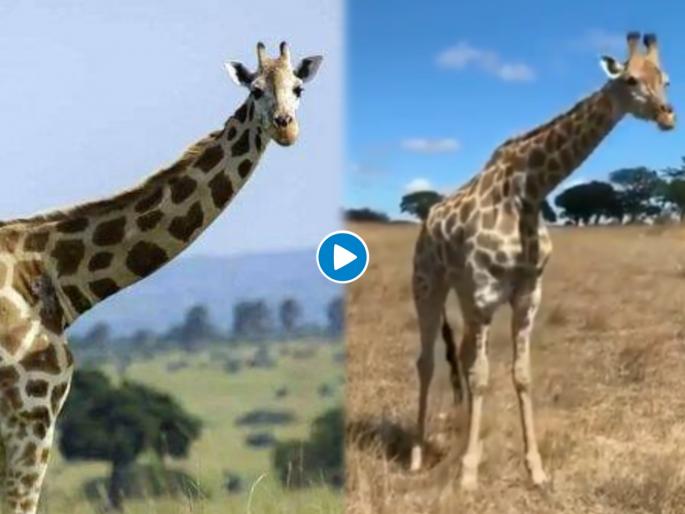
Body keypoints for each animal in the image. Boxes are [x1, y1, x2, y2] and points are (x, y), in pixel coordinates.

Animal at [410, 32, 674, 490]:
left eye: (667, 80)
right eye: (629, 80)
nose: (667, 115)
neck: (529, 191)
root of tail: (427, 219)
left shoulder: (527, 293)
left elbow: (520, 374)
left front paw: (534, 470)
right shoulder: (485, 292)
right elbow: (482, 376)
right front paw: (468, 474)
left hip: (462, 294)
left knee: (461, 354)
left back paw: (460, 438)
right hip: (429, 286)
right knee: (427, 362)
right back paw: (418, 454)